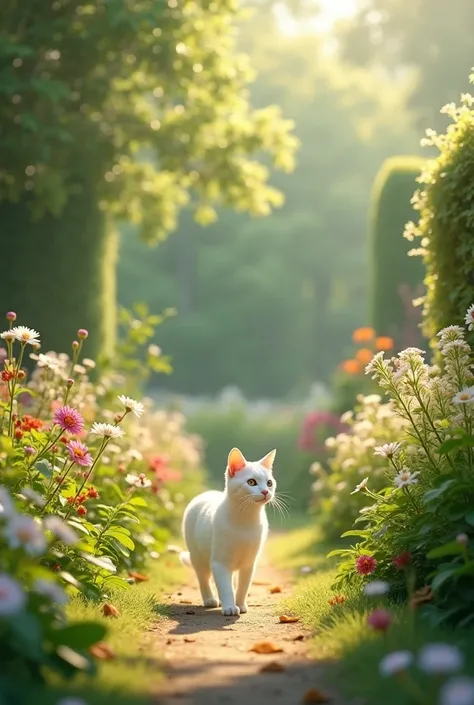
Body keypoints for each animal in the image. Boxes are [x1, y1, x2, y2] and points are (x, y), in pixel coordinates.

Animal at [181, 448, 278, 612]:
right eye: (251, 482)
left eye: (269, 482)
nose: (265, 491)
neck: (245, 519)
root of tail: (206, 493)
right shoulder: (219, 562)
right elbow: (225, 587)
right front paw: (230, 607)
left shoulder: (249, 563)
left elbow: (243, 587)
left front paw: (240, 604)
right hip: (198, 557)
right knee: (203, 578)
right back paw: (210, 599)